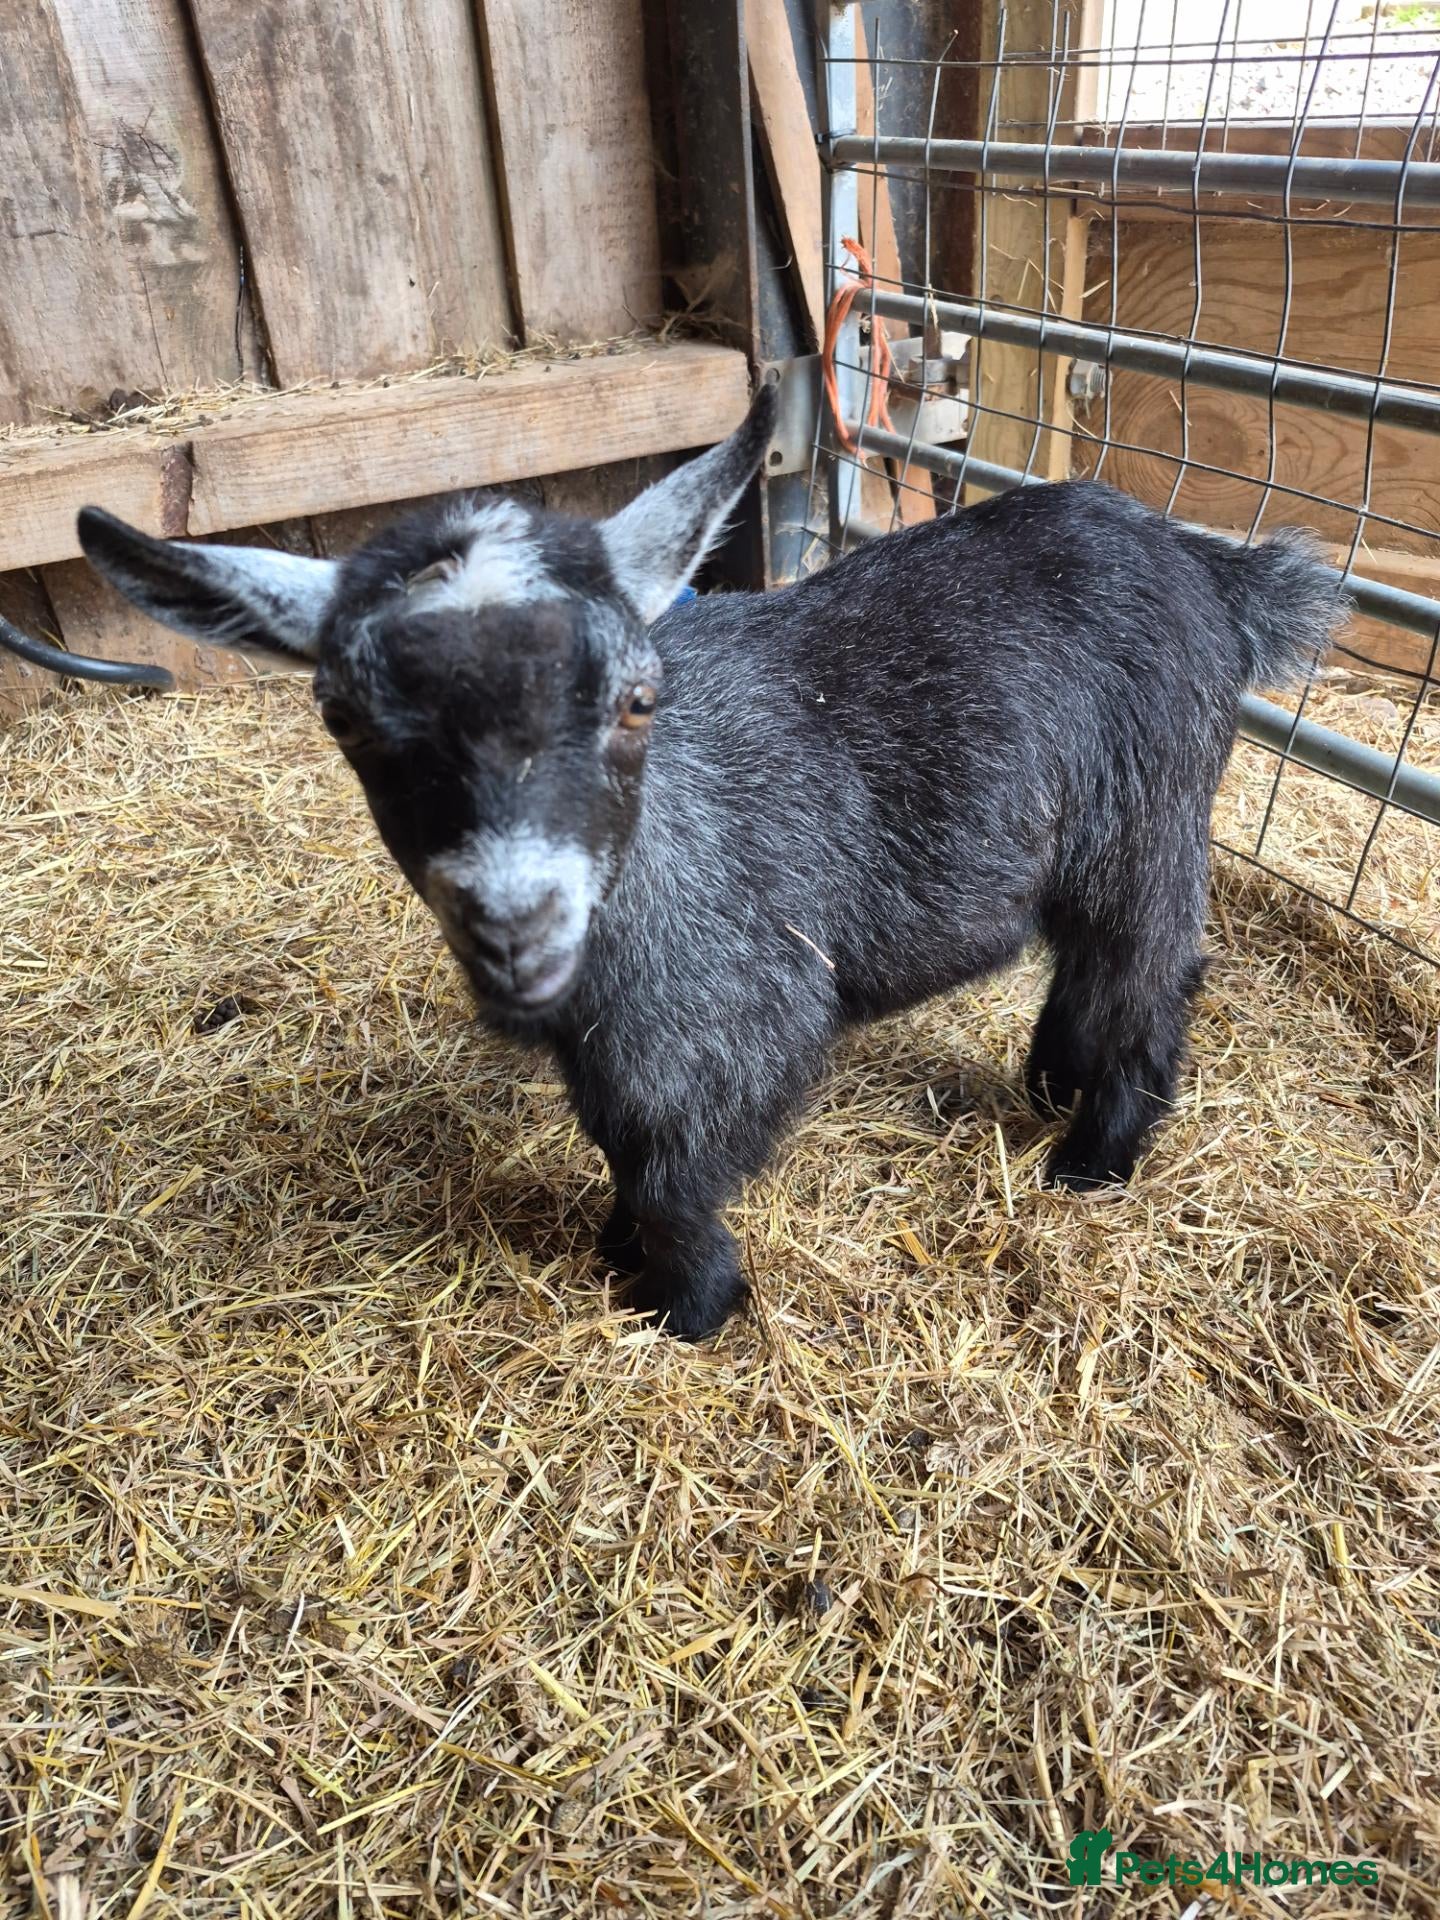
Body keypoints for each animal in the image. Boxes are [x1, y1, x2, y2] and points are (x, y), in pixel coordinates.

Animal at [77, 383, 1343, 1338]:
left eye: (637, 701)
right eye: (342, 717)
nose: (516, 928)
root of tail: (1207, 570)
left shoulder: (737, 1018)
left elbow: (675, 1172)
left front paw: (684, 1305)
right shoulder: (612, 1047)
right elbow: (621, 1144)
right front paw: (614, 1250)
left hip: (1149, 815)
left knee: (1152, 970)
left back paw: (1095, 1155)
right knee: (1090, 959)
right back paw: (1051, 1082)